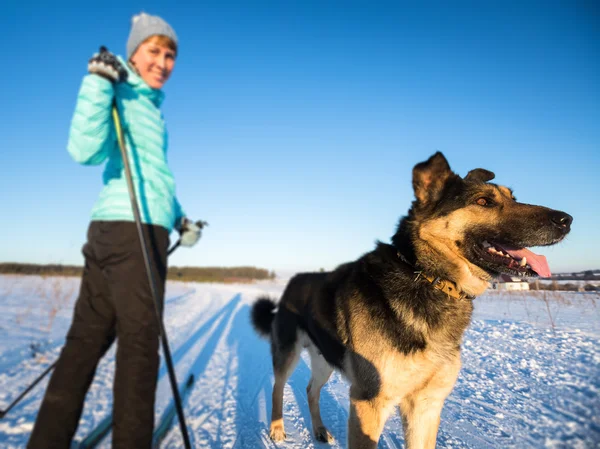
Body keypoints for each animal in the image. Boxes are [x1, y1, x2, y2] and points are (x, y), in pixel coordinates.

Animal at [252, 152, 572, 446]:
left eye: (512, 197)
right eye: (483, 202)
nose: (566, 220)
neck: (430, 278)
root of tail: (295, 279)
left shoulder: (426, 405)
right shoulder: (369, 402)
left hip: (324, 359)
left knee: (311, 390)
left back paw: (318, 429)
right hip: (288, 354)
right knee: (277, 387)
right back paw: (277, 429)